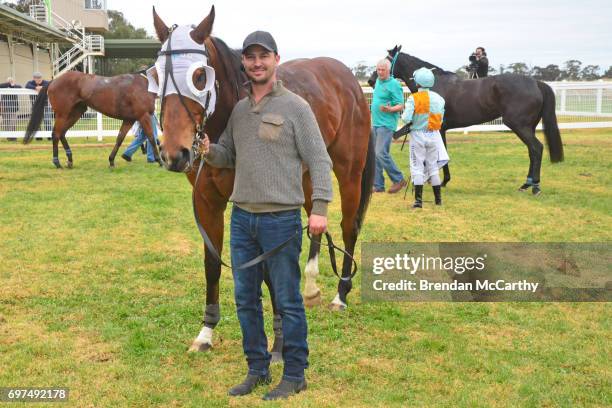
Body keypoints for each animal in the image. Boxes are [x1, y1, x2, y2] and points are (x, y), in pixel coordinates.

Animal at [23, 71, 160, 169]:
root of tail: (53, 81)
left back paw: (70, 160)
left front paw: (111, 160)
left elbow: (119, 139)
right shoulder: (144, 115)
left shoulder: (129, 119)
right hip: (62, 114)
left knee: (62, 133)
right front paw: (160, 160)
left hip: (75, 113)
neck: (146, 84)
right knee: (56, 134)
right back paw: (57, 162)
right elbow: (151, 137)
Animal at [151, 5, 376, 354]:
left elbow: (268, 269)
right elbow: (212, 263)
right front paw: (206, 332)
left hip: (348, 169)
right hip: (307, 173)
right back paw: (310, 287)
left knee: (349, 226)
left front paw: (280, 340)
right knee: (316, 220)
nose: (175, 153)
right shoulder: (206, 201)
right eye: (158, 76)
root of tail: (350, 81)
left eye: (200, 77)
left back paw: (340, 295)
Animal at [368, 45, 564, 195]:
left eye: (386, 61)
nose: (370, 80)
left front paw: (437, 180)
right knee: (532, 151)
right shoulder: (440, 129)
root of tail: (536, 83)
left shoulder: (437, 128)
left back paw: (535, 186)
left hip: (519, 125)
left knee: (537, 148)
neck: (432, 85)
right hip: (528, 127)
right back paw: (527, 184)